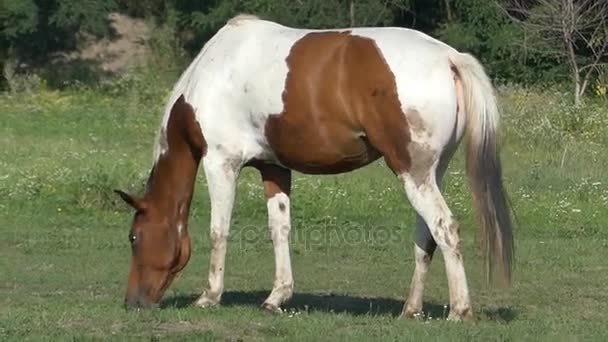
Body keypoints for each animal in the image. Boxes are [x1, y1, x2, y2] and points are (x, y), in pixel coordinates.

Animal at [115, 14, 512, 320]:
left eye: (134, 237)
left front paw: (209, 297)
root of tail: (450, 58)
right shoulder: (273, 167)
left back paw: (459, 310)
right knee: (426, 236)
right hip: (430, 174)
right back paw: (411, 309)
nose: (132, 302)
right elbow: (279, 230)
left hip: (413, 175)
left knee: (445, 228)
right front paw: (276, 298)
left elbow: (218, 231)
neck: (214, 71)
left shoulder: (220, 163)